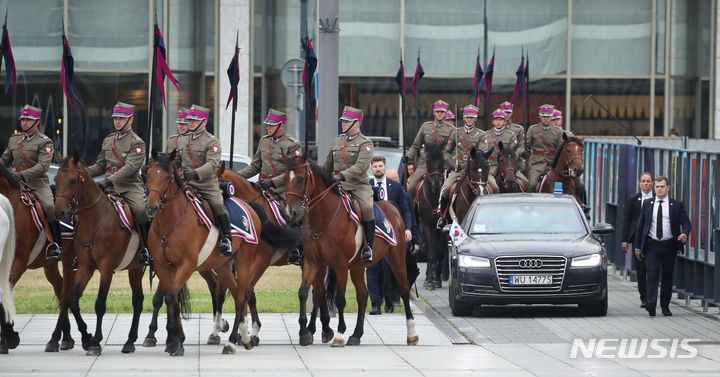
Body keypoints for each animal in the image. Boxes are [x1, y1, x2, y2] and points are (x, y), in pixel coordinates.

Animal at [0, 163, 75, 352]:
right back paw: (66, 337)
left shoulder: (18, 263)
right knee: (61, 290)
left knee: (66, 292)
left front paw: (9, 337)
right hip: (50, 265)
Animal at [53, 153, 145, 356]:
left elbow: (100, 304)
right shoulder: (85, 268)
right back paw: (130, 341)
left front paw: (95, 341)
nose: (59, 212)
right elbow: (72, 300)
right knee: (138, 300)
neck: (95, 221)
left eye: (73, 181)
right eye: (55, 179)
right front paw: (86, 337)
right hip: (135, 268)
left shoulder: (106, 268)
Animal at [145, 148, 300, 354]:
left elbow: (172, 296)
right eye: (147, 174)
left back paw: (235, 340)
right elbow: (170, 298)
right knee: (234, 293)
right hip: (223, 265)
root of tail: (250, 208)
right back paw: (239, 336)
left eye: (168, 176)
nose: (151, 206)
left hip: (245, 262)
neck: (169, 224)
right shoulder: (164, 266)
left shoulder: (188, 265)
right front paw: (173, 339)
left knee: (242, 294)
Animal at [282, 153, 416, 346]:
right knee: (362, 295)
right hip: (358, 266)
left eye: (300, 179)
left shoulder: (340, 265)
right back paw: (356, 334)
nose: (291, 213)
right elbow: (304, 292)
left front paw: (338, 333)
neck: (324, 219)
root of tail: (392, 207)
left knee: (404, 290)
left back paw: (411, 333)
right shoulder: (312, 262)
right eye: (285, 179)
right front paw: (304, 332)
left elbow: (339, 299)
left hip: (396, 259)